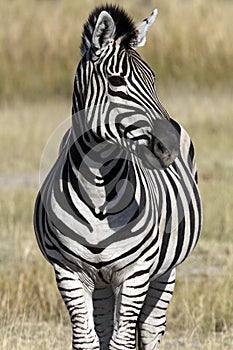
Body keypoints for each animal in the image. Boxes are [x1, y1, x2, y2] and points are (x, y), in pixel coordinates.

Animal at [34, 5, 202, 350]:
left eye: (153, 79)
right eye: (115, 81)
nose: (169, 145)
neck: (98, 192)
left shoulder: (135, 273)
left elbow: (123, 342)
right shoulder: (68, 272)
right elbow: (88, 340)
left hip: (166, 269)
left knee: (151, 328)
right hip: (101, 282)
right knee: (104, 326)